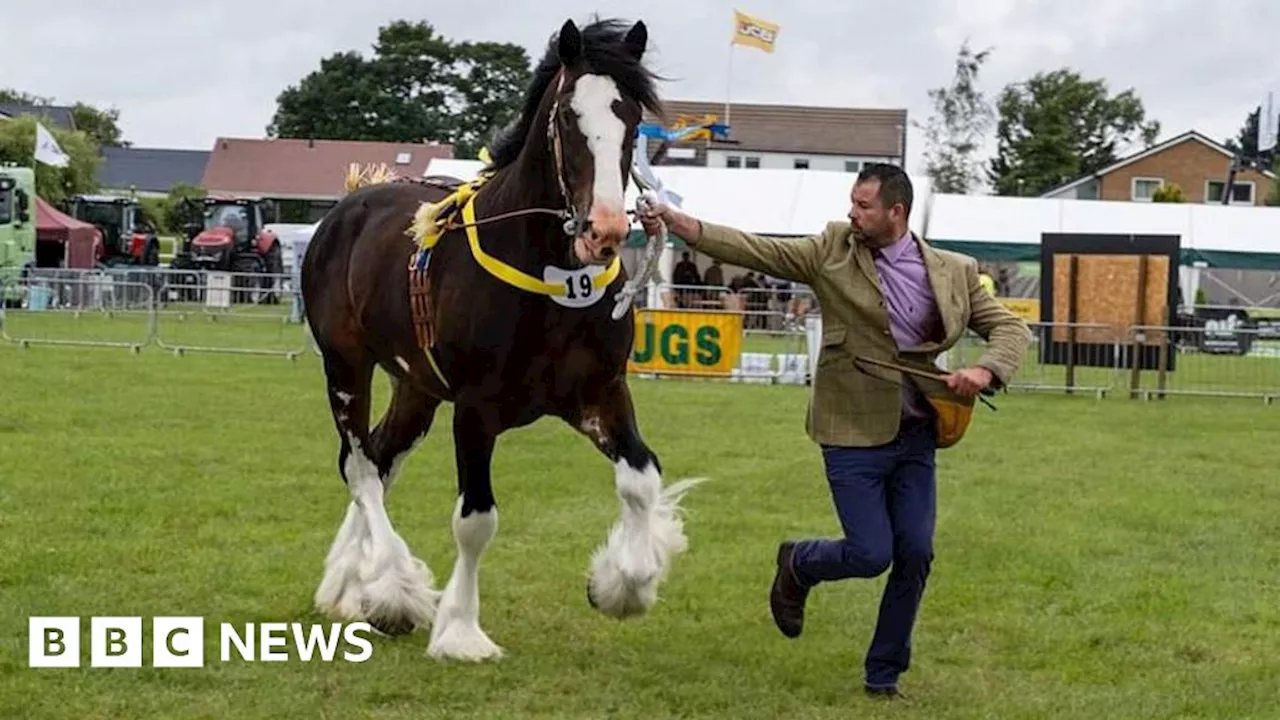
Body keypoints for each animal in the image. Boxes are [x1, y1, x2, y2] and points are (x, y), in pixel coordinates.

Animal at [295, 16, 706, 661]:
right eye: (567, 116)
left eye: (633, 119)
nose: (606, 231)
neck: (548, 279)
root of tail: (350, 204)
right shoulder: (475, 410)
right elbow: (476, 520)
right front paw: (461, 631)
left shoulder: (600, 394)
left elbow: (641, 479)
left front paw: (622, 585)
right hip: (345, 366)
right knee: (361, 468)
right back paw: (392, 588)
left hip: (416, 387)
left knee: (379, 462)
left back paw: (348, 587)